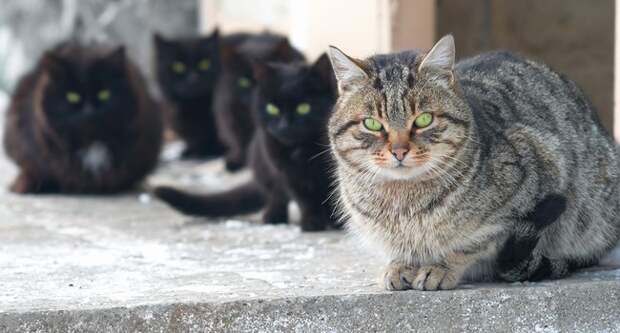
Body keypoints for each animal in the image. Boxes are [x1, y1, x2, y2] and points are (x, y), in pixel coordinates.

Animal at [154, 29, 224, 158]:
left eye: (204, 64)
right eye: (178, 66)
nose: (193, 79)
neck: (193, 107)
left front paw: (207, 150)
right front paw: (189, 151)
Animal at [154, 53, 340, 231]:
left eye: (304, 107)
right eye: (272, 108)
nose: (284, 125)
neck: (300, 150)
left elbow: (333, 198)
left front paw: (335, 221)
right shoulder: (288, 174)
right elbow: (305, 200)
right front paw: (312, 222)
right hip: (262, 164)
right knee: (275, 195)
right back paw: (273, 216)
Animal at [326, 35, 616, 290]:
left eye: (424, 119)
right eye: (372, 124)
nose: (399, 151)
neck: (404, 202)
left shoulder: (539, 170)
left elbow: (471, 243)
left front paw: (440, 267)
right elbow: (401, 250)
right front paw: (399, 265)